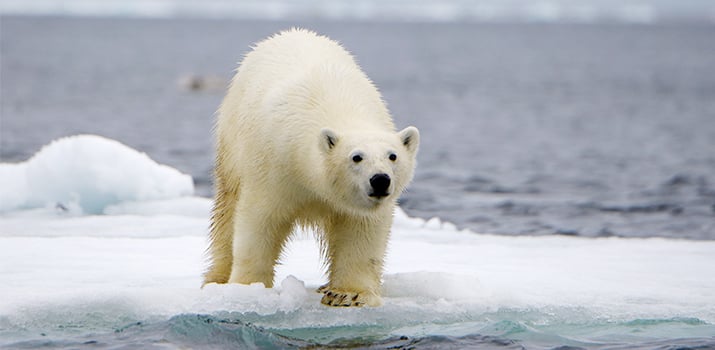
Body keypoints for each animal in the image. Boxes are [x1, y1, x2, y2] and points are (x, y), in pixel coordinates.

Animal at [204, 28, 420, 308]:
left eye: (392, 156)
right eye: (356, 157)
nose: (380, 180)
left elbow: (361, 231)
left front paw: (348, 294)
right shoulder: (274, 164)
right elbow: (259, 220)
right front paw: (248, 288)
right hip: (231, 140)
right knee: (227, 208)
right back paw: (216, 277)